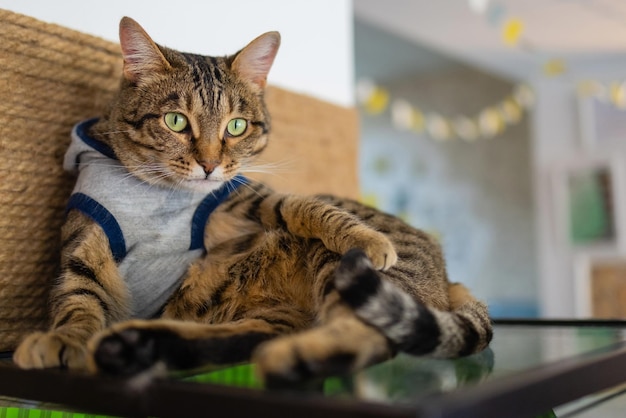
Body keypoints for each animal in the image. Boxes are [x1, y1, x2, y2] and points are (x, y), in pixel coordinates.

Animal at [12, 16, 490, 382]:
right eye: (175, 121)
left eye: (236, 126)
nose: (208, 164)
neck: (158, 194)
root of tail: (448, 278)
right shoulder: (85, 243)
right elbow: (78, 298)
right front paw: (64, 339)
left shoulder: (246, 195)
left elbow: (305, 206)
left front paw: (368, 238)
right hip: (267, 314)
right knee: (252, 337)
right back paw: (140, 344)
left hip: (341, 274)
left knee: (370, 336)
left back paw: (290, 357)